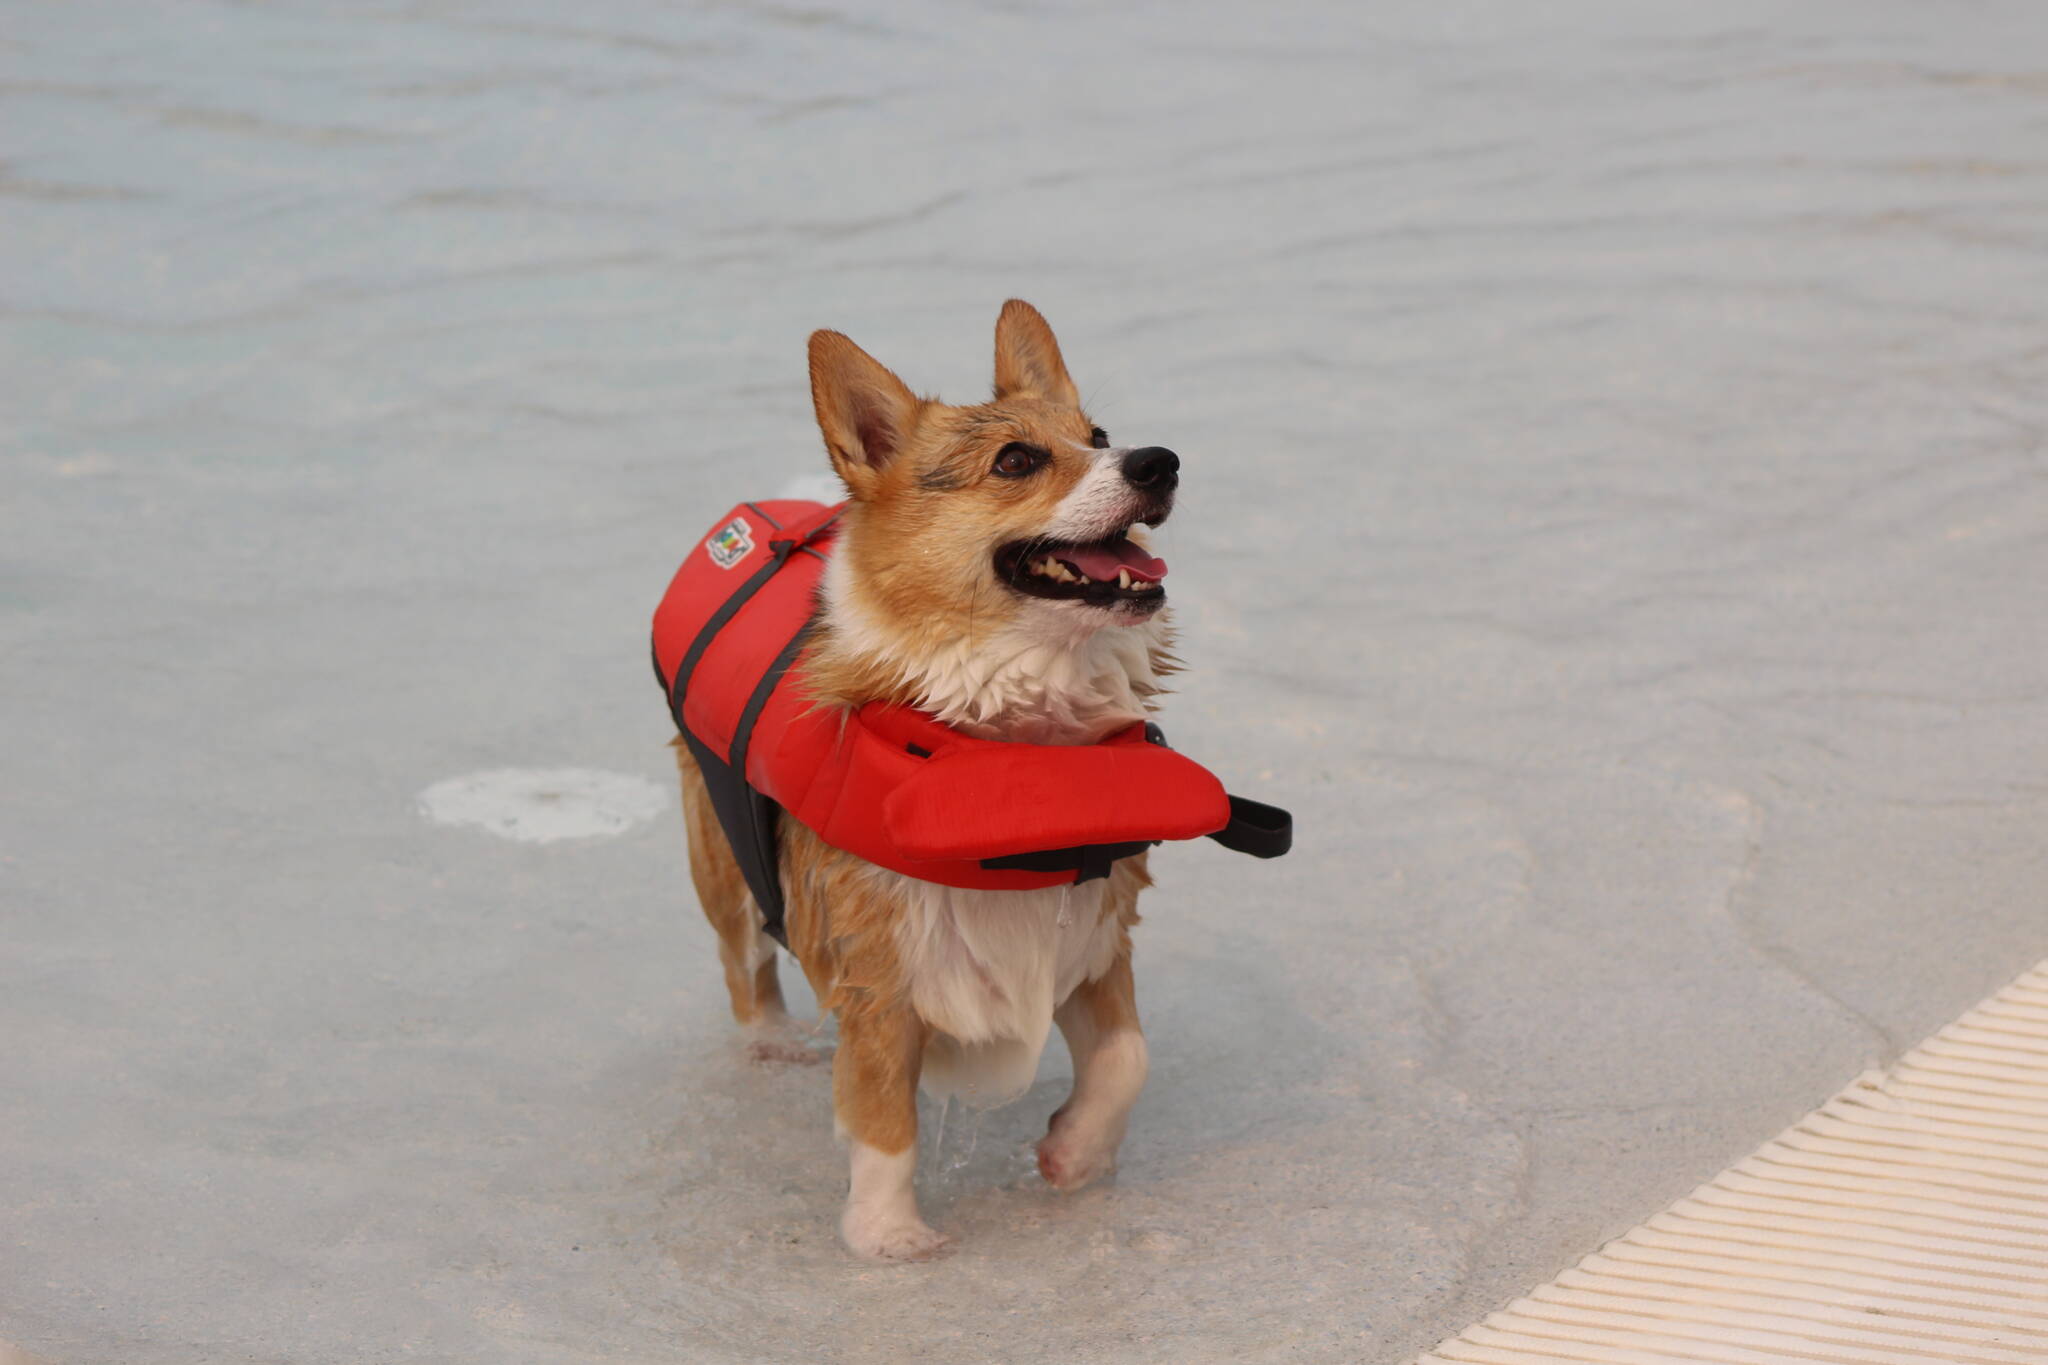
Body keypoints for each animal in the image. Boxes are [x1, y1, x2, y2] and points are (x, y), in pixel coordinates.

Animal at [675, 300, 1187, 1260]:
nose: (1160, 460)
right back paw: (772, 1045)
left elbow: (1127, 1059)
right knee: (743, 962)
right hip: (721, 863)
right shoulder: (882, 982)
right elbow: (885, 1122)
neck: (1012, 735)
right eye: (1016, 461)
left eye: (1099, 435)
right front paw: (892, 1240)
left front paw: (1074, 1157)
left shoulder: (1095, 938)